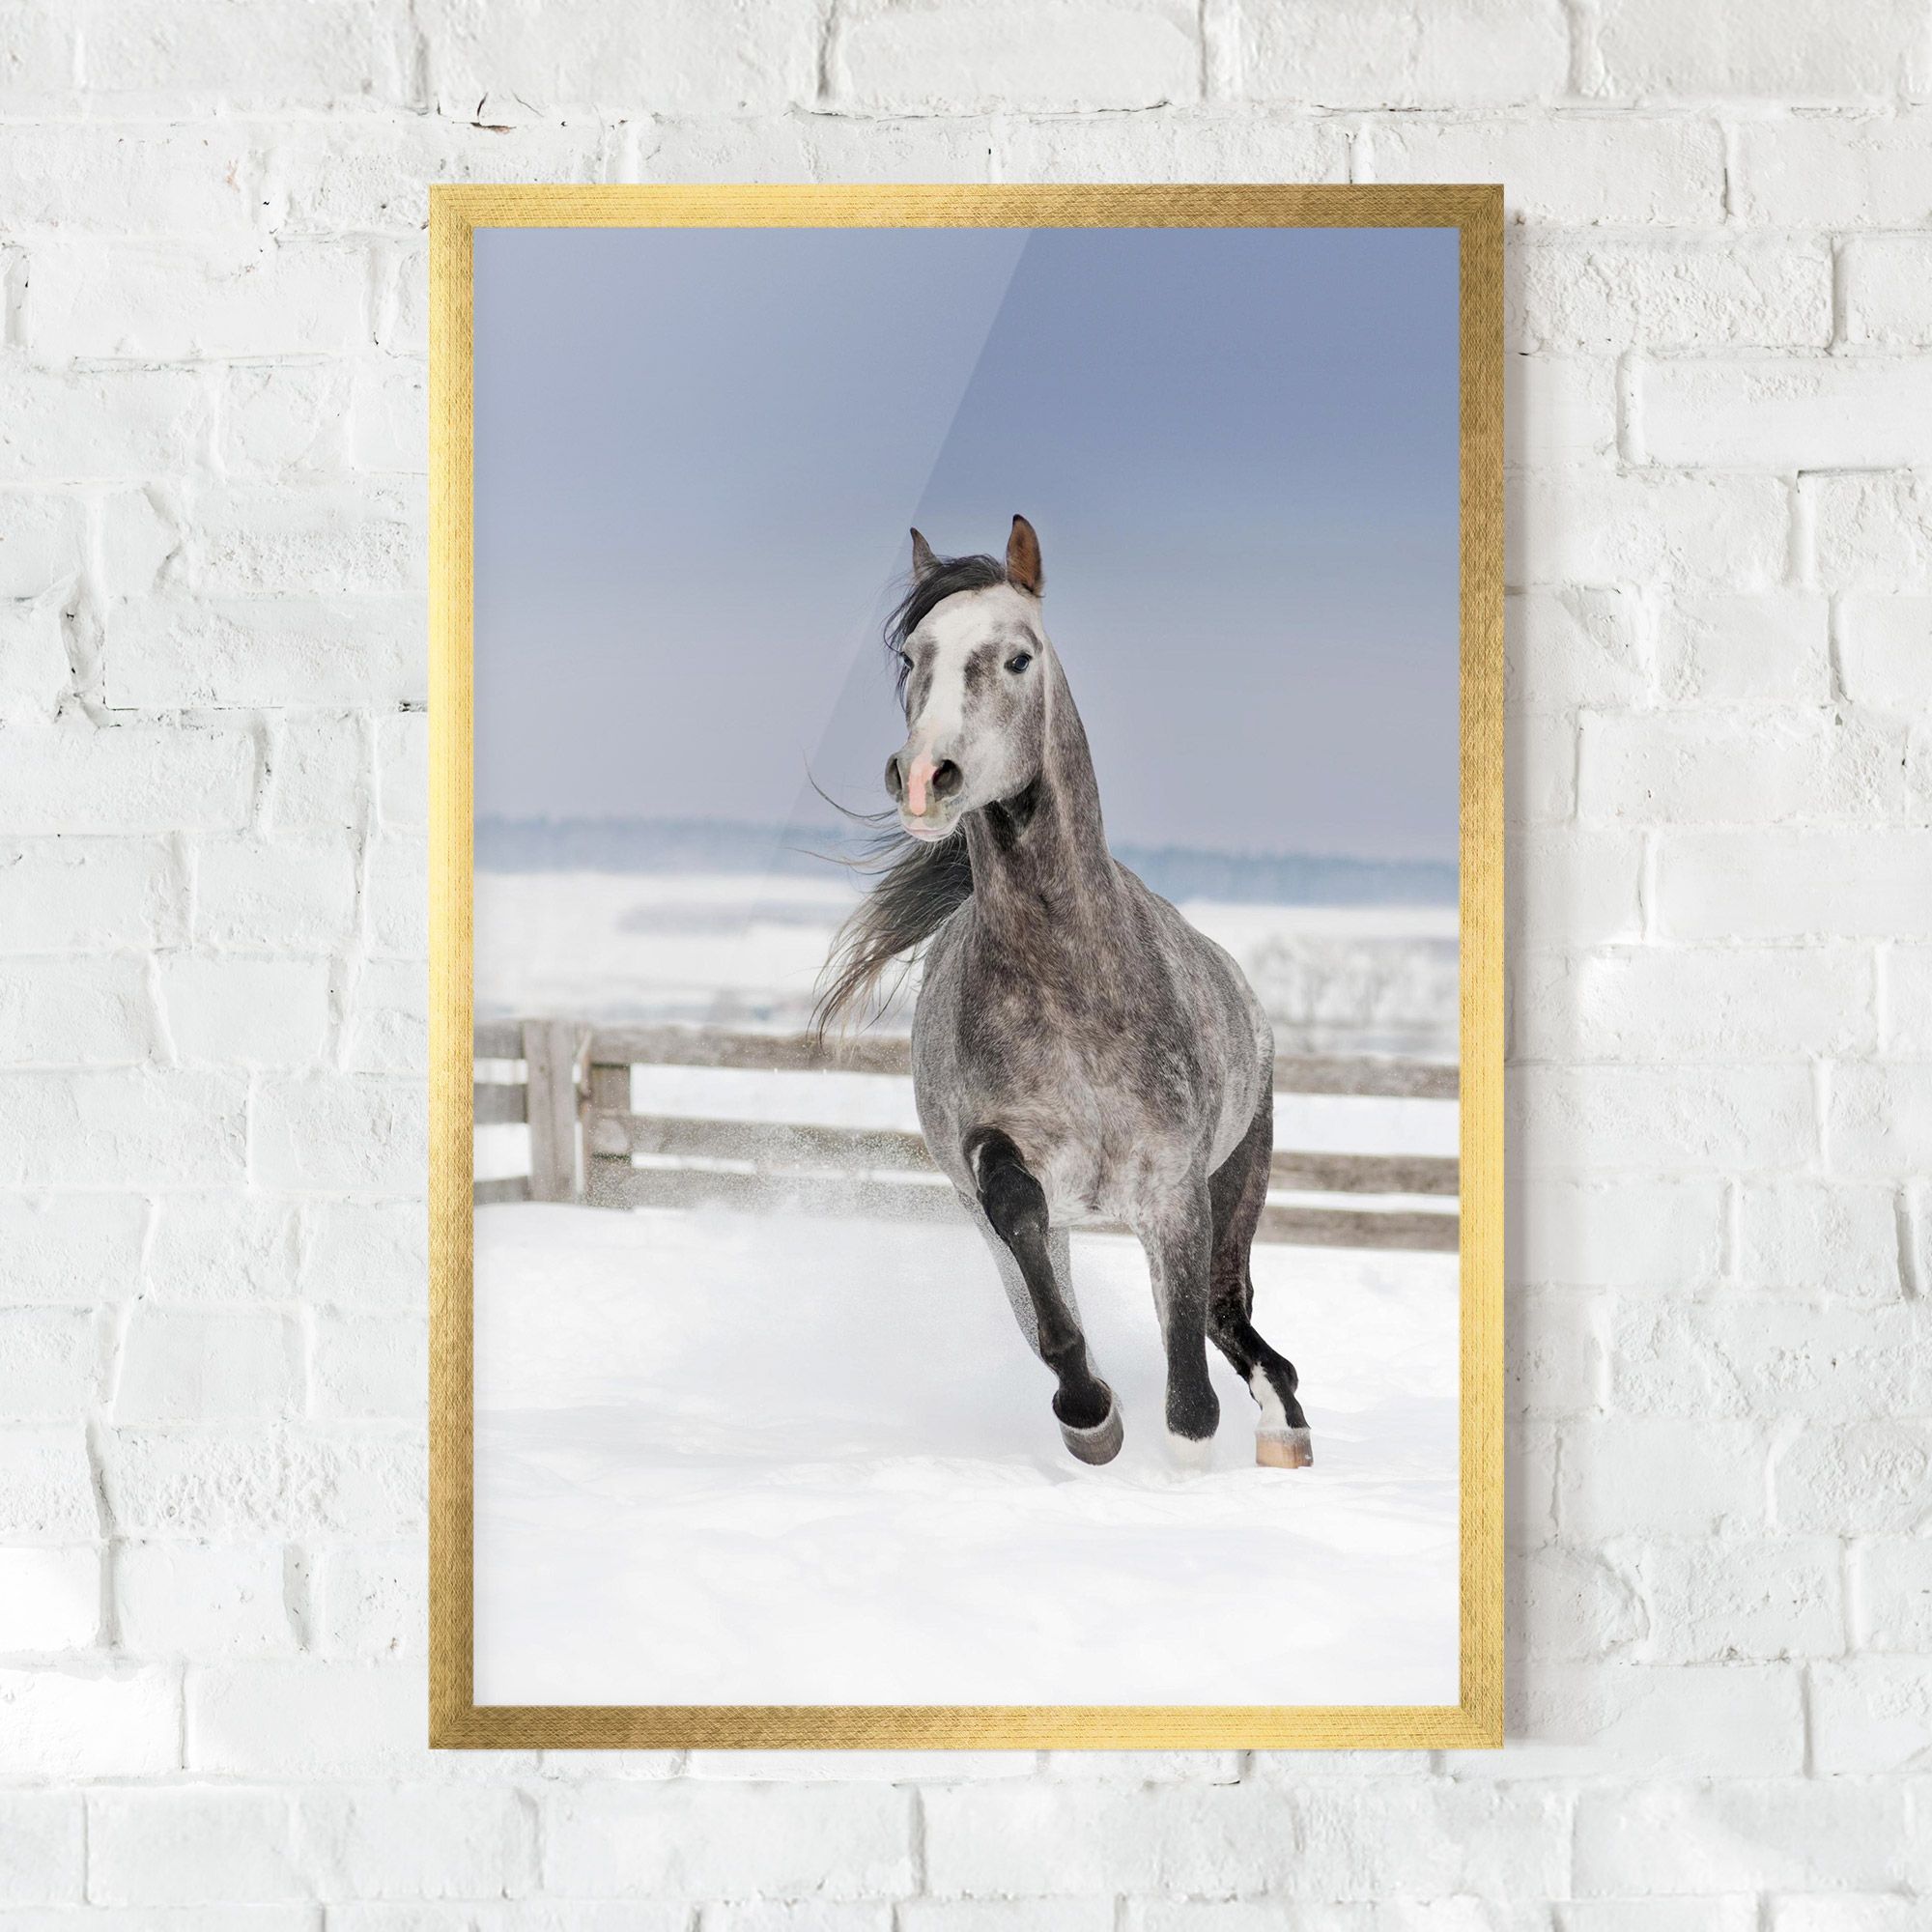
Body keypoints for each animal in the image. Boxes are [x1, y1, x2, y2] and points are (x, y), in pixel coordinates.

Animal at [816, 516, 1312, 1473]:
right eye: (913, 657)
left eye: (1018, 658)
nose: (924, 777)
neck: (1071, 987)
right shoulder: (1003, 1174)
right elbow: (1037, 1268)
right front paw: (1090, 1416)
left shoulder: (1175, 1192)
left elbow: (1189, 1388)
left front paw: (1185, 1456)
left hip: (1237, 1183)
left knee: (1230, 1316)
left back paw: (1284, 1431)